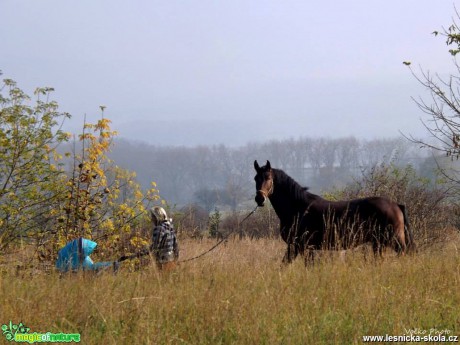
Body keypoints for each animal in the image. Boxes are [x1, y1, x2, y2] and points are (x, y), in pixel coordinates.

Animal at [253, 160, 416, 262]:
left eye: (268, 177)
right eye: (255, 178)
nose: (259, 199)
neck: (298, 208)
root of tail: (396, 205)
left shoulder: (299, 246)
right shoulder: (303, 248)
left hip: (394, 240)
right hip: (378, 243)